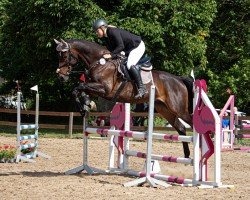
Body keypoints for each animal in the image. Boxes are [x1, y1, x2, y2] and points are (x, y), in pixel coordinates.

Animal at [54, 38, 193, 158]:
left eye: (64, 56)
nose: (61, 76)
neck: (100, 63)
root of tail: (178, 79)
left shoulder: (105, 90)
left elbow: (79, 87)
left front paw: (84, 107)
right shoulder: (95, 90)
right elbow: (78, 90)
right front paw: (86, 106)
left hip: (179, 109)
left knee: (191, 123)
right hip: (165, 109)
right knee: (181, 128)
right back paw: (187, 156)